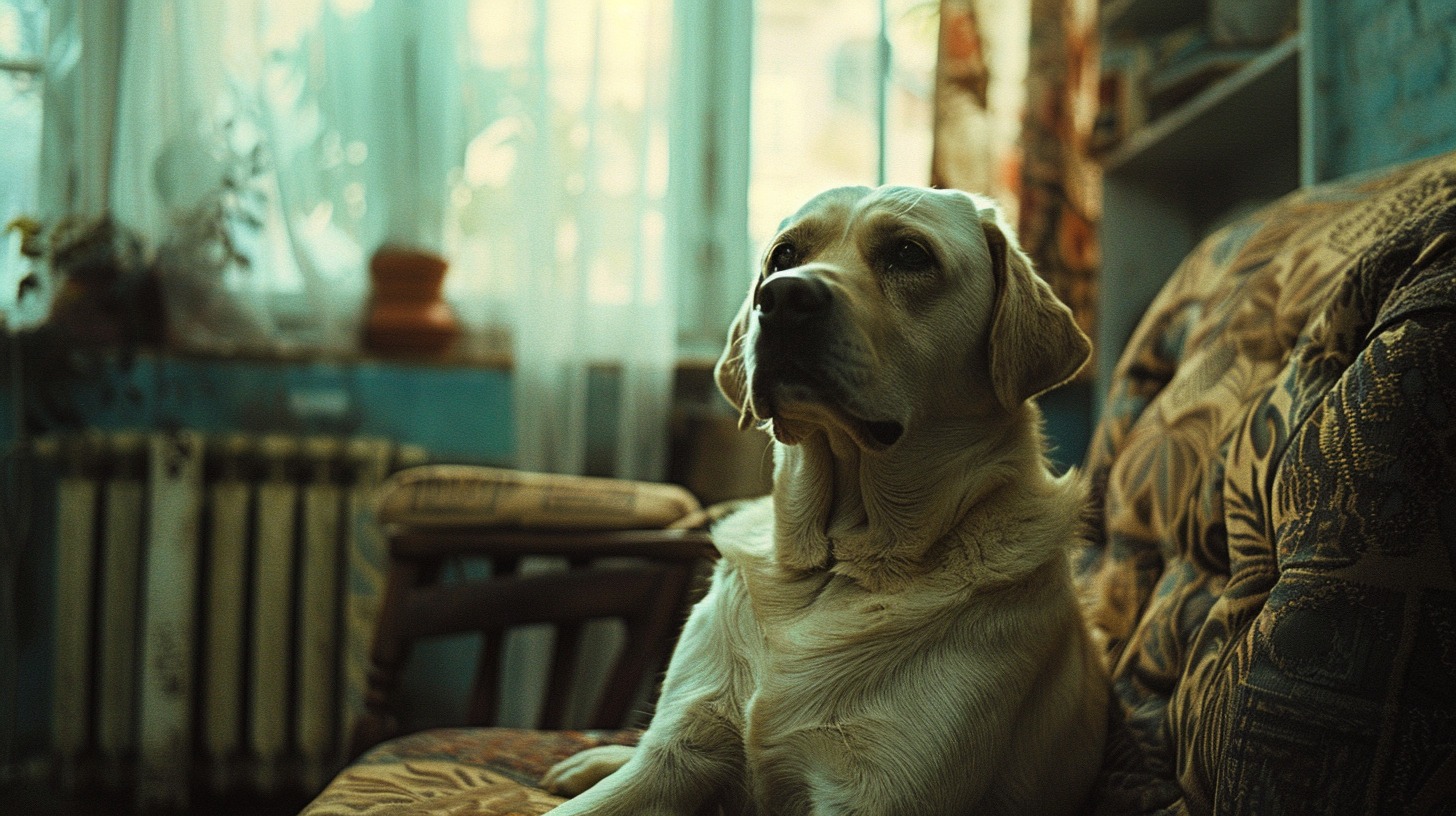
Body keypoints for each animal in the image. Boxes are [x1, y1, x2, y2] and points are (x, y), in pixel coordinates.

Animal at [544, 186, 1100, 816]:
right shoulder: (679, 747)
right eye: (783, 255)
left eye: (909, 254)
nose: (782, 297)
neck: (831, 562)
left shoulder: (876, 792)